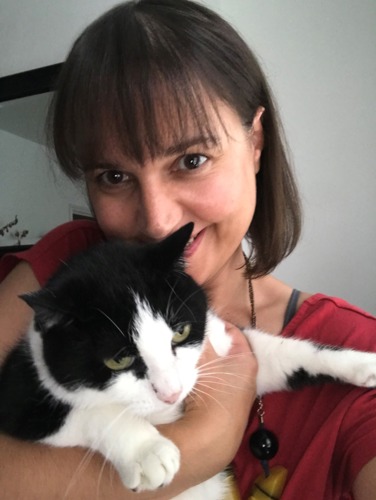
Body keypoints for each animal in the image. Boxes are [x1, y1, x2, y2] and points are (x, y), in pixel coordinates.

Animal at [0, 224, 376, 500]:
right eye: (119, 360)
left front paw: (361, 363)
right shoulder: (19, 392)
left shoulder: (224, 344)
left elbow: (279, 354)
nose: (171, 392)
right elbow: (91, 411)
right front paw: (146, 450)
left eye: (179, 333)